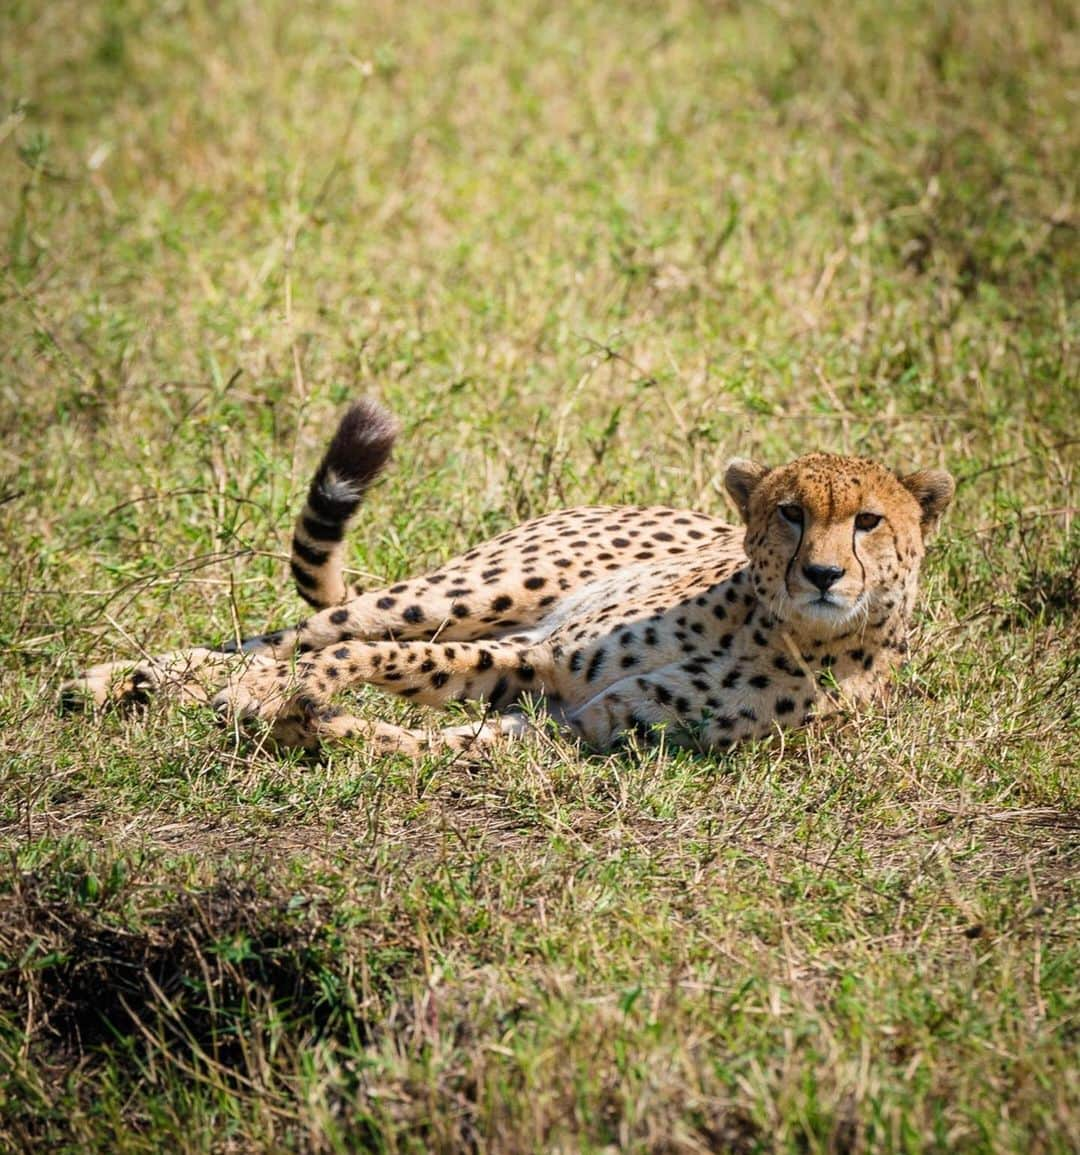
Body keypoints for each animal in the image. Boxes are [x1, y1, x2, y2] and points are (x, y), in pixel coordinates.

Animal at [61, 397, 956, 757]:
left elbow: (435, 730)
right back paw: (117, 679)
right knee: (283, 635)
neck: (777, 630)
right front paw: (285, 697)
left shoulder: (577, 714)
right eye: (791, 513)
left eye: (868, 521)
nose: (824, 574)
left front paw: (312, 724)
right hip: (477, 590)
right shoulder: (547, 653)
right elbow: (374, 657)